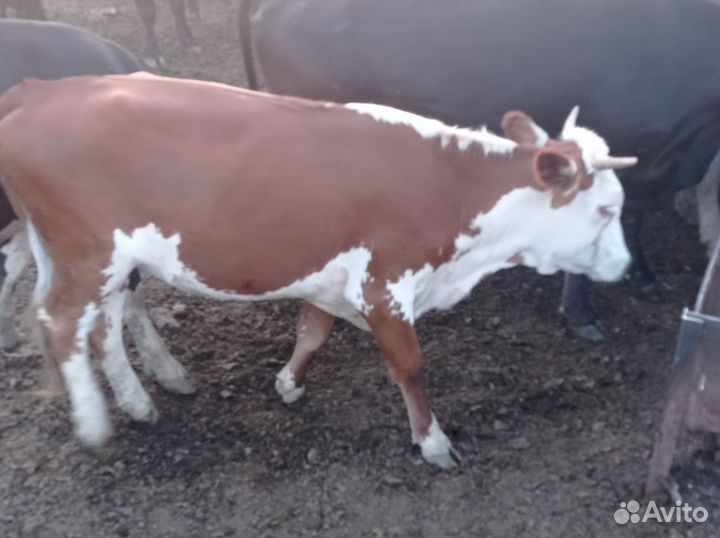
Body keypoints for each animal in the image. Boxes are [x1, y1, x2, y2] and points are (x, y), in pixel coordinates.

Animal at [0, 72, 634, 466]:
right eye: (607, 209)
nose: (626, 266)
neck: (447, 189)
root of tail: (38, 91)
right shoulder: (385, 284)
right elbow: (410, 367)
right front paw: (432, 442)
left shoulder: (332, 273)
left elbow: (313, 330)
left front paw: (288, 382)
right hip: (87, 254)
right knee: (61, 323)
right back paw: (96, 426)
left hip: (104, 261)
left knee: (102, 327)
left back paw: (141, 398)